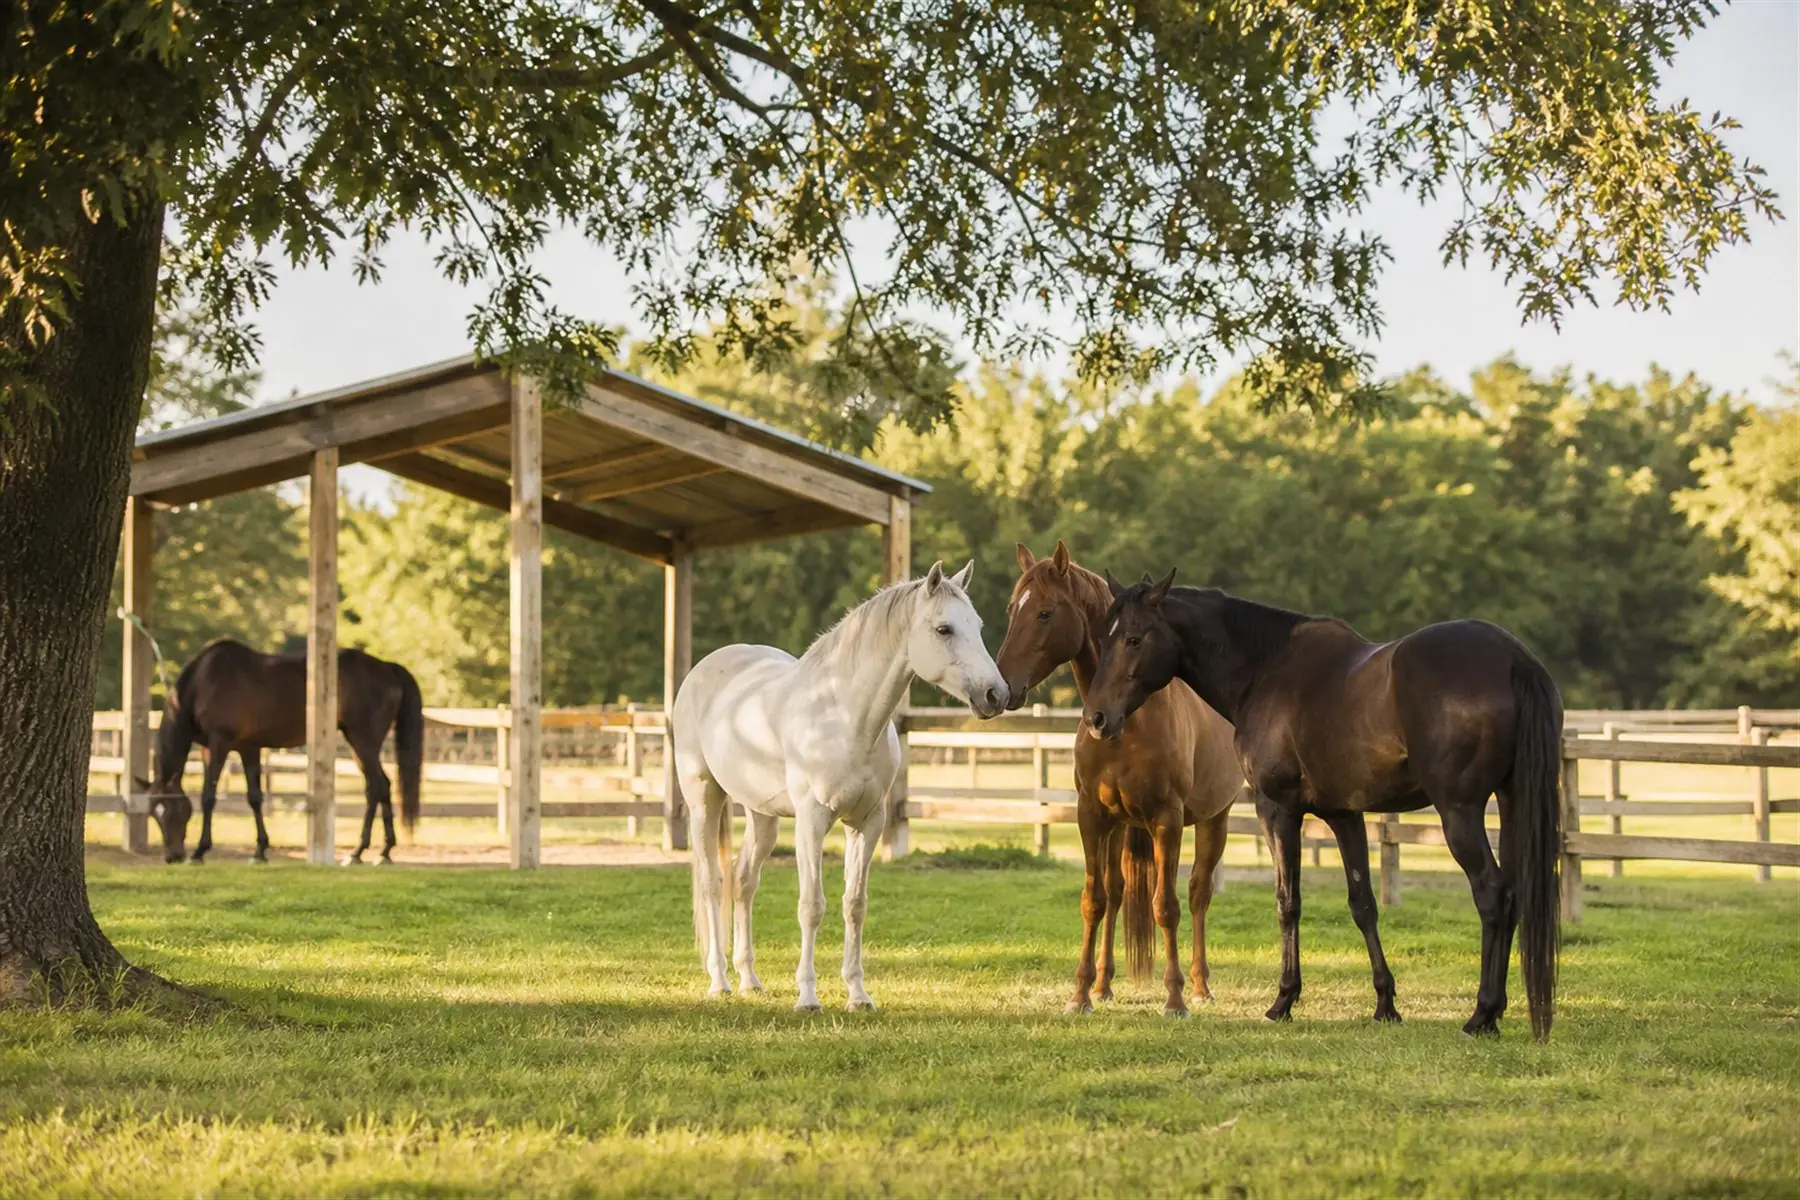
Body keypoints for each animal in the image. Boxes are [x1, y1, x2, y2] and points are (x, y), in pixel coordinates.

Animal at [139, 638, 425, 865]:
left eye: (175, 810)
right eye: (154, 812)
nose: (173, 856)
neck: (203, 682)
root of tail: (387, 668)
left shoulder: (220, 744)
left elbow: (209, 796)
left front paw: (200, 851)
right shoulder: (244, 748)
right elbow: (254, 797)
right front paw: (260, 851)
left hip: (362, 740)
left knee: (375, 787)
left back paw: (357, 852)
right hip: (361, 744)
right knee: (383, 785)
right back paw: (384, 851)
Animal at [674, 560, 1009, 1011]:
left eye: (978, 625)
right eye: (944, 629)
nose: (996, 694)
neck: (846, 719)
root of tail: (707, 667)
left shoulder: (867, 822)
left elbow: (855, 905)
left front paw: (857, 993)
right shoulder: (812, 822)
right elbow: (811, 906)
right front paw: (807, 996)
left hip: (762, 816)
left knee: (743, 881)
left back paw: (749, 980)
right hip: (704, 799)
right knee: (713, 882)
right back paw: (719, 981)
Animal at [994, 541, 1245, 1017]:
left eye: (1045, 613)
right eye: (1011, 610)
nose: (1001, 688)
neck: (1128, 721)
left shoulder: (1167, 820)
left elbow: (1166, 906)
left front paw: (1174, 999)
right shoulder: (1092, 816)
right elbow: (1094, 901)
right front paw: (1080, 995)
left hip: (1214, 819)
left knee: (1199, 893)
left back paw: (1201, 986)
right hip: (1120, 828)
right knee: (1116, 893)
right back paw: (1103, 986)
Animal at [1082, 571, 1563, 1039]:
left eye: (1133, 638)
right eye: (1104, 638)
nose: (1096, 718)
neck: (1265, 670)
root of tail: (1514, 659)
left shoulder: (1277, 810)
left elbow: (1288, 901)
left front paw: (1283, 1001)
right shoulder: (1344, 814)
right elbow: (1363, 905)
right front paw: (1385, 1005)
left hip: (1458, 812)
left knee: (1493, 895)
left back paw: (1482, 1015)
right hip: (1511, 802)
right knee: (1514, 894)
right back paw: (1495, 1013)